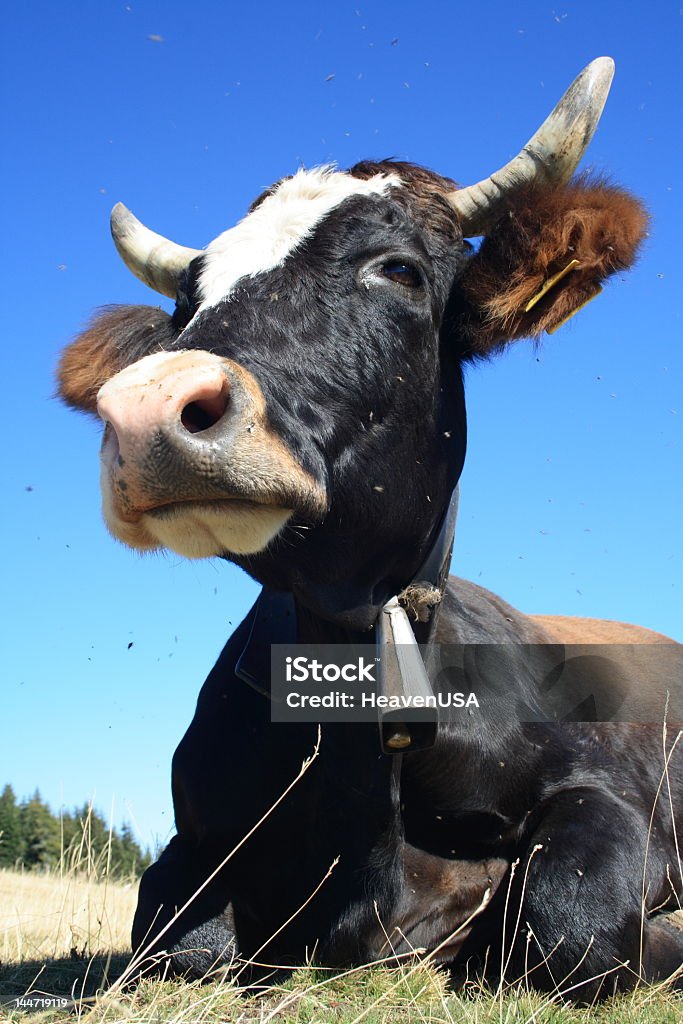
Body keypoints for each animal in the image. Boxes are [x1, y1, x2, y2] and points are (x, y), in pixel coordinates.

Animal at [60, 58, 683, 999]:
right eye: (180, 310)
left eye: (399, 271)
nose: (145, 408)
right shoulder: (195, 834)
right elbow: (179, 941)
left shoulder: (611, 793)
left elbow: (567, 923)